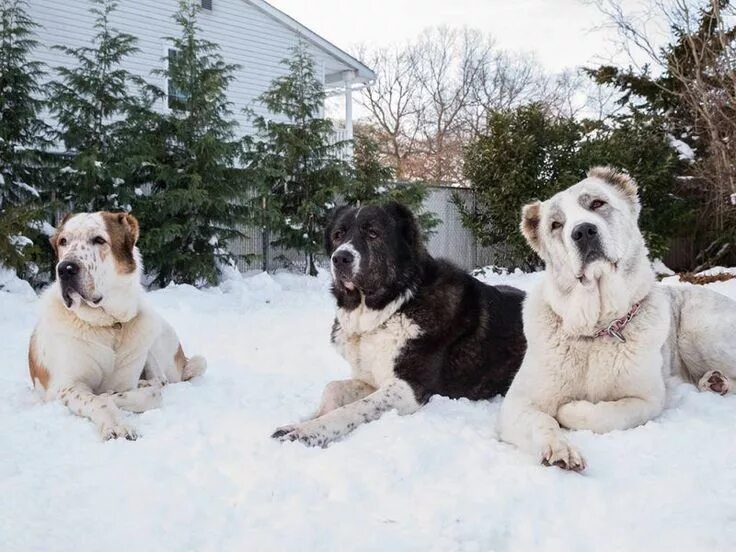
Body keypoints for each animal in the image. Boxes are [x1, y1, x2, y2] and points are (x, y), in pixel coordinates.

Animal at [28, 211, 206, 440]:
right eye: (63, 241)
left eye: (99, 240)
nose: (65, 269)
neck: (108, 325)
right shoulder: (66, 387)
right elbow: (96, 400)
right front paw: (115, 424)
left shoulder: (125, 382)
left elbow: (149, 395)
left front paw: (114, 394)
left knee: (161, 380)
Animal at [274, 201, 528, 446]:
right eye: (338, 235)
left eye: (373, 233)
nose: (340, 258)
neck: (392, 309)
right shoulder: (371, 379)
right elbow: (333, 389)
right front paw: (302, 421)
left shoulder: (409, 388)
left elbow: (354, 409)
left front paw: (307, 432)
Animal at [498, 167, 736, 470]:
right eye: (555, 224)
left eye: (597, 203)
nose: (583, 231)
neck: (597, 329)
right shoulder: (518, 403)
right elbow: (541, 421)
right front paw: (559, 449)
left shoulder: (646, 399)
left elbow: (603, 414)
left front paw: (569, 410)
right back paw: (714, 383)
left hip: (699, 330)